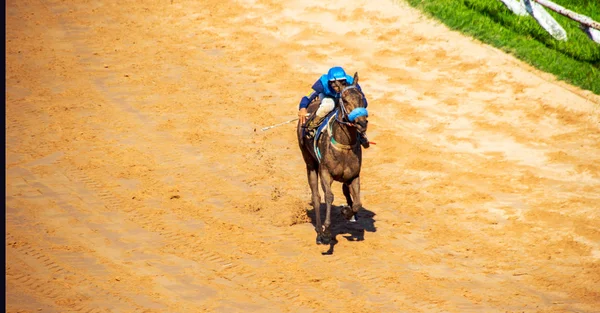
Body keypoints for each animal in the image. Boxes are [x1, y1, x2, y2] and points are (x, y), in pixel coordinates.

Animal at [296, 72, 368, 245]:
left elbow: (357, 203)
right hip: (310, 163)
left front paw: (347, 212)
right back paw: (319, 230)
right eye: (345, 100)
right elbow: (328, 196)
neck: (344, 145)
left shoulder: (354, 175)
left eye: (362, 99)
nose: (362, 123)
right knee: (316, 197)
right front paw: (326, 232)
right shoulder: (325, 172)